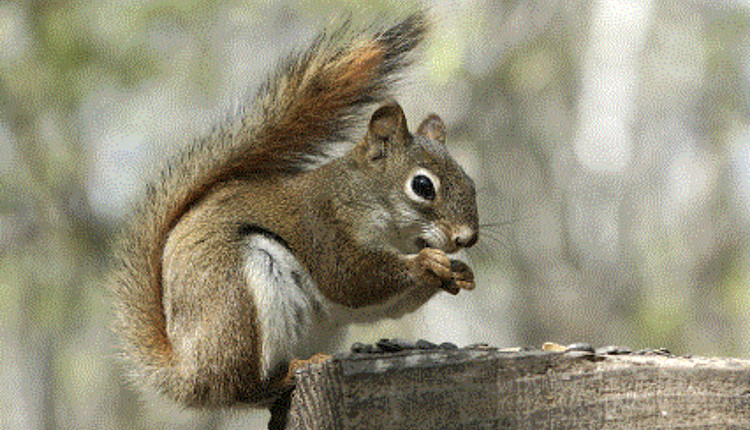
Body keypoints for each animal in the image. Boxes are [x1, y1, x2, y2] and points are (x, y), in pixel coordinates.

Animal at [111, 11, 479, 409]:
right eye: (423, 186)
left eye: (471, 183)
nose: (467, 238)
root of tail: (187, 374)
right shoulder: (323, 224)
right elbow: (350, 278)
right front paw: (426, 263)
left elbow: (384, 303)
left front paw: (458, 273)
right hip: (239, 300)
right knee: (242, 388)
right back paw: (284, 375)